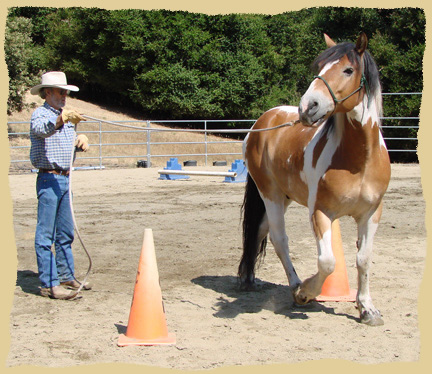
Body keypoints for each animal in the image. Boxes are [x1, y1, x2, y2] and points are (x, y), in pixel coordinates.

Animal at [240, 32, 392, 326]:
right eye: (319, 67)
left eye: (348, 70)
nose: (308, 106)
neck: (359, 161)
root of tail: (262, 123)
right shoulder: (321, 212)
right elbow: (328, 262)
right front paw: (306, 292)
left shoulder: (371, 213)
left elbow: (364, 259)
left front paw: (367, 309)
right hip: (270, 194)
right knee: (279, 238)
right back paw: (294, 285)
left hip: (284, 197)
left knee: (260, 230)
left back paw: (250, 279)